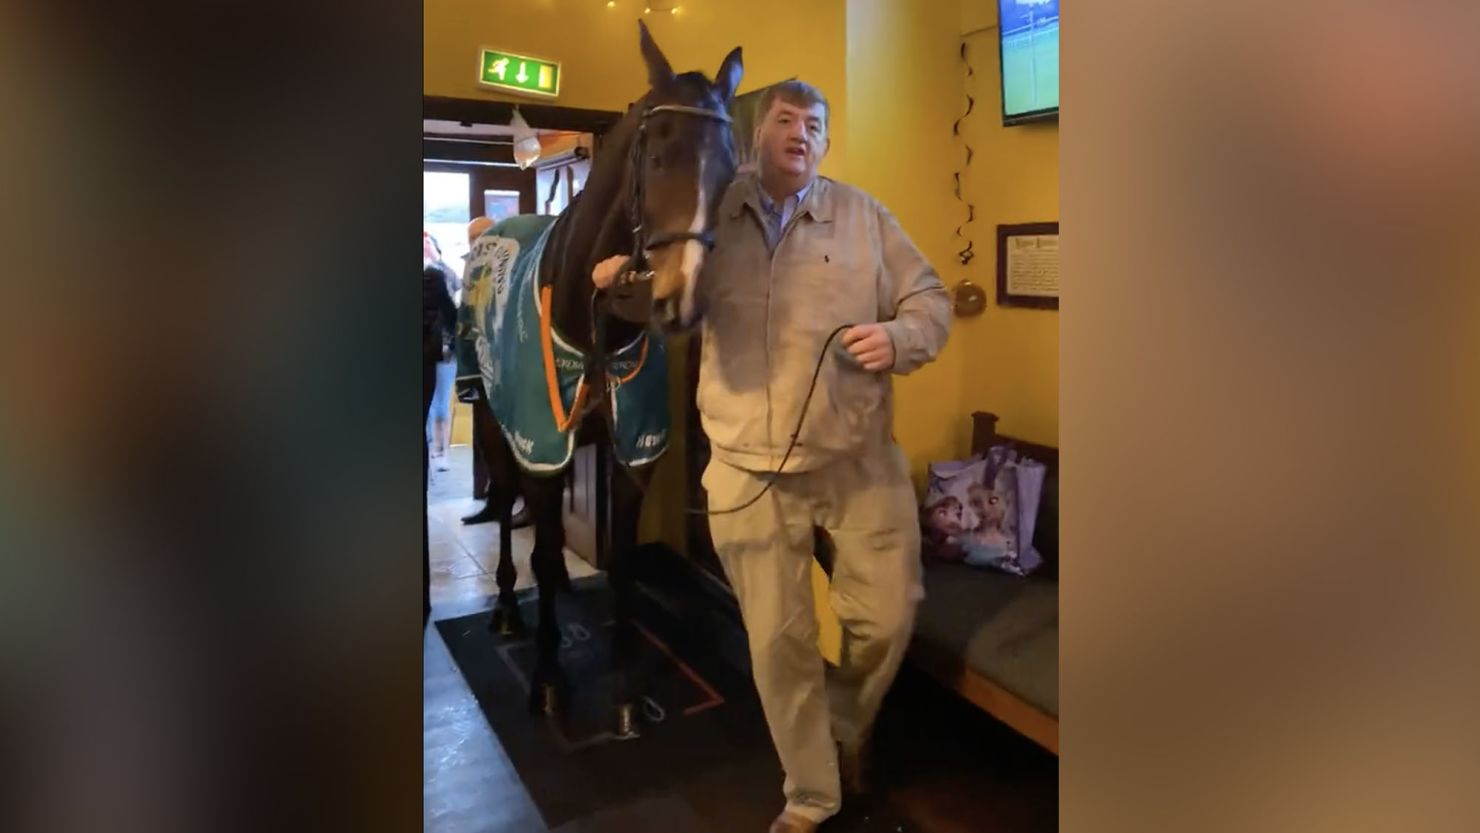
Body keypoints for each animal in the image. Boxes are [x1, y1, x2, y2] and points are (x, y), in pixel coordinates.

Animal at [452, 21, 740, 736]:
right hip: (494, 421)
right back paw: (506, 608)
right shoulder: (542, 452)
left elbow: (624, 563)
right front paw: (551, 679)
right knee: (507, 513)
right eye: (658, 158)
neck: (595, 324)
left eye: (729, 169)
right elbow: (547, 552)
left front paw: (627, 693)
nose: (680, 300)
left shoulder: (632, 455)